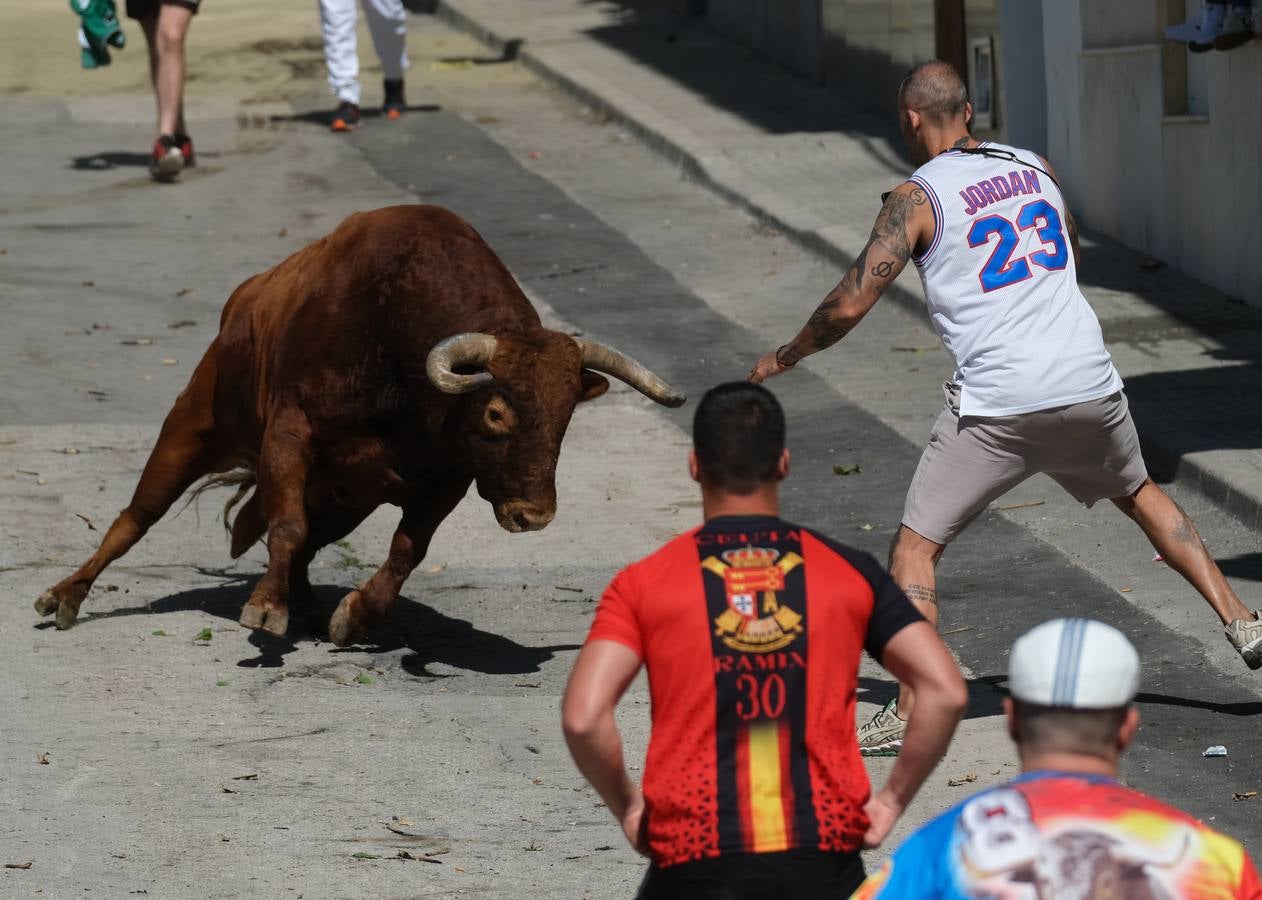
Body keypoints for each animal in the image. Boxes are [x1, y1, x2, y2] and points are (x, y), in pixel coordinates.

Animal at [34, 203, 681, 641]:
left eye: (567, 416)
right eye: (497, 412)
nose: (534, 515)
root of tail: (243, 301)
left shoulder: (447, 475)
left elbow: (406, 548)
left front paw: (354, 616)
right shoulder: (289, 433)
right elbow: (286, 525)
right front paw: (267, 608)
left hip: (346, 498)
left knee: (302, 537)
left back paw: (307, 602)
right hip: (193, 427)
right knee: (136, 518)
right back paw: (66, 595)